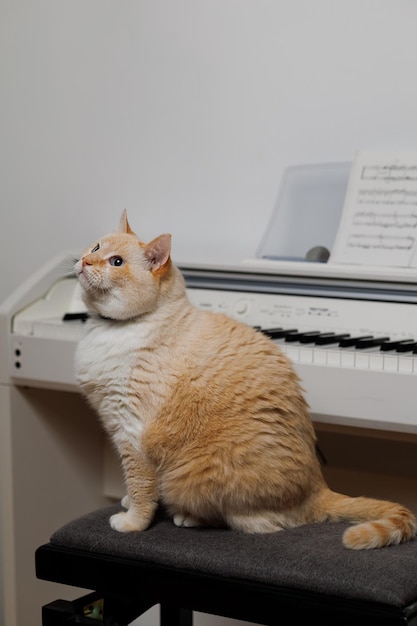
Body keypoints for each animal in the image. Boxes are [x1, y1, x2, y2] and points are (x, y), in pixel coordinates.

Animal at [74, 208, 416, 544]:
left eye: (116, 262)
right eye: (96, 247)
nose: (85, 260)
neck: (110, 329)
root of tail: (318, 488)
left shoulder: (132, 432)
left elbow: (141, 487)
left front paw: (131, 521)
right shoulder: (117, 425)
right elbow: (134, 484)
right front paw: (127, 502)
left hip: (193, 477)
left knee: (242, 519)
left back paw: (188, 516)